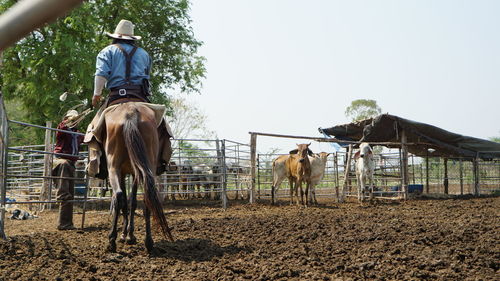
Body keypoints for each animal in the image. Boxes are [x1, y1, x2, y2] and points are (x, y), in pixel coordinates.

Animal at [103, 102, 174, 252]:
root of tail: (130, 112)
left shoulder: (125, 173)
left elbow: (128, 202)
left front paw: (126, 235)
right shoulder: (133, 172)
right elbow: (131, 201)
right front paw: (129, 235)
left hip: (114, 167)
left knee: (119, 196)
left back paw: (113, 240)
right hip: (144, 167)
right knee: (146, 198)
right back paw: (148, 241)